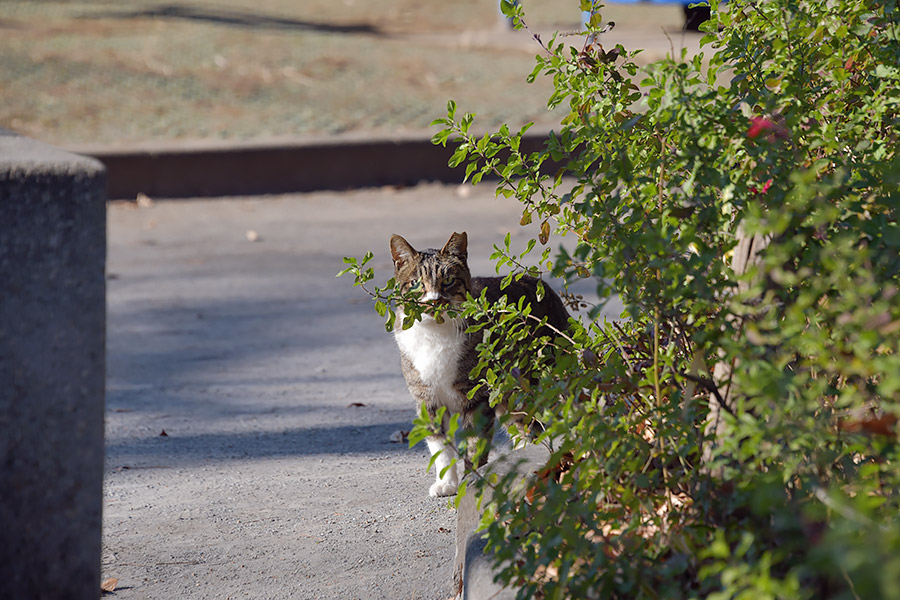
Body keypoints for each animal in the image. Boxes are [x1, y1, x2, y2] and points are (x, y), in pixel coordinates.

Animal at [388, 230, 568, 496]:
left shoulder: (477, 397)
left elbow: (475, 443)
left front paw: (471, 480)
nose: (434, 301)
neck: (435, 335)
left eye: (448, 281)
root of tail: (539, 283)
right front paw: (447, 482)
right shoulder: (427, 399)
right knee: (523, 425)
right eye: (416, 283)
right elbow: (440, 446)